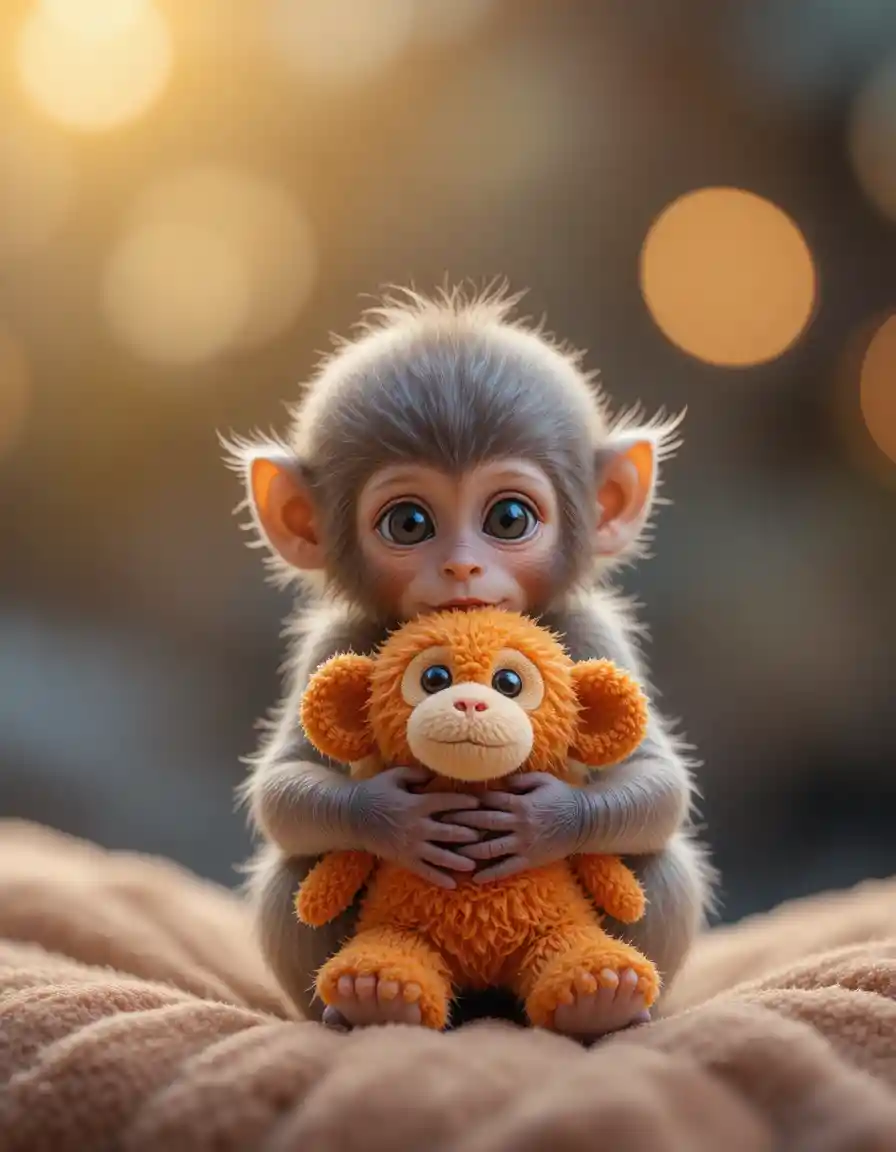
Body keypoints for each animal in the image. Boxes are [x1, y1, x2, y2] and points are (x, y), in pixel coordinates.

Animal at [226, 283, 715, 1039]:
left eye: (509, 519)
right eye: (409, 523)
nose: (462, 567)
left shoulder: (596, 633)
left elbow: (660, 785)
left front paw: (546, 821)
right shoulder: (332, 640)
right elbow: (281, 792)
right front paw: (392, 817)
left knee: (658, 866)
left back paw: (606, 1003)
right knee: (292, 873)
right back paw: (369, 1001)